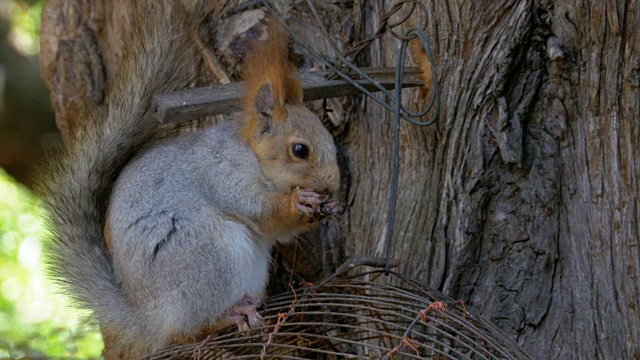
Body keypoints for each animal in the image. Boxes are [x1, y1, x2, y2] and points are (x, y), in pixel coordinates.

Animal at [40, 2, 340, 358]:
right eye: (300, 150)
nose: (333, 185)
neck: (253, 157)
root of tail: (150, 317)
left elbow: (278, 231)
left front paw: (329, 205)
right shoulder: (224, 173)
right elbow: (262, 211)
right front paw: (299, 202)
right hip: (206, 254)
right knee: (186, 332)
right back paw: (226, 317)